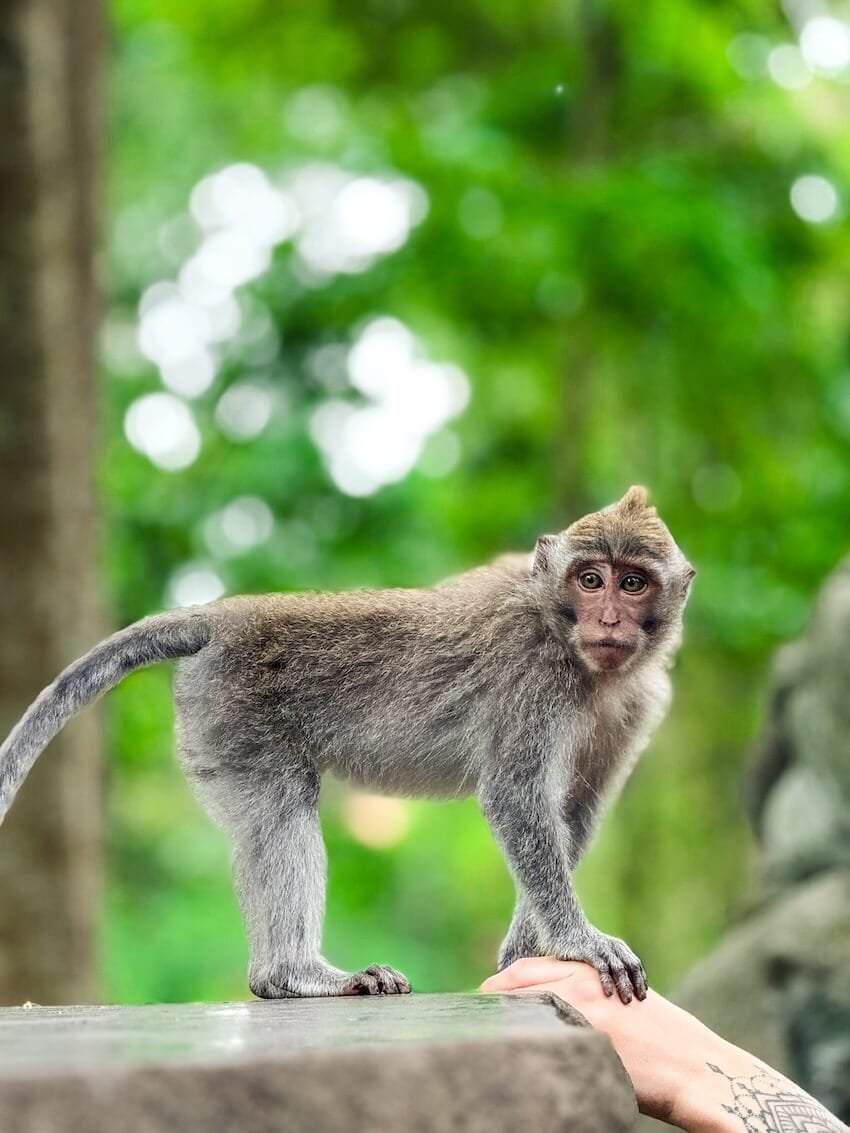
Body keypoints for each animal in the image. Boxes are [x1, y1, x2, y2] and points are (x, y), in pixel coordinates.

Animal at [0, 485, 694, 1004]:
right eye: (590, 578)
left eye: (632, 583)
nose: (609, 619)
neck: (573, 649)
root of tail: (224, 615)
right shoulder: (534, 677)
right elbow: (516, 799)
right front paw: (580, 942)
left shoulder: (637, 704)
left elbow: (573, 812)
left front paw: (529, 952)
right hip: (233, 711)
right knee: (280, 810)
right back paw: (292, 975)